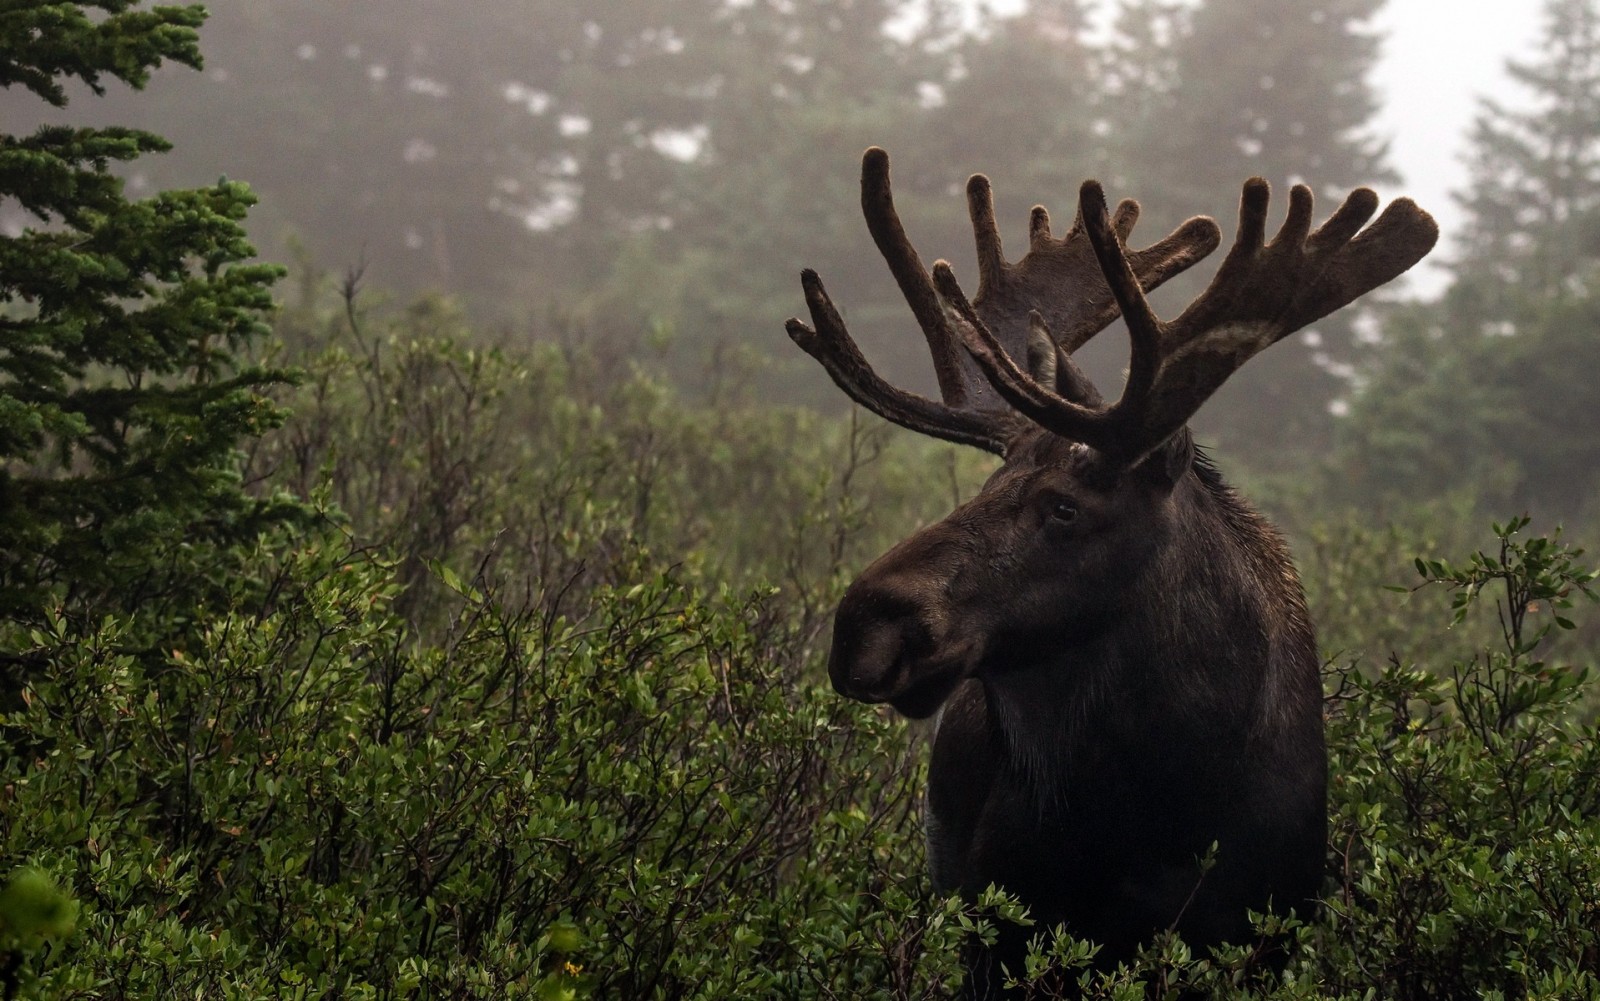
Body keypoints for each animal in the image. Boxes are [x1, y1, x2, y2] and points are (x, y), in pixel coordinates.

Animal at [787, 147, 1440, 991]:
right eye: (986, 484)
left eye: (1065, 507)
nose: (864, 624)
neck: (1156, 808)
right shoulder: (1002, 925)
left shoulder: (1262, 933)